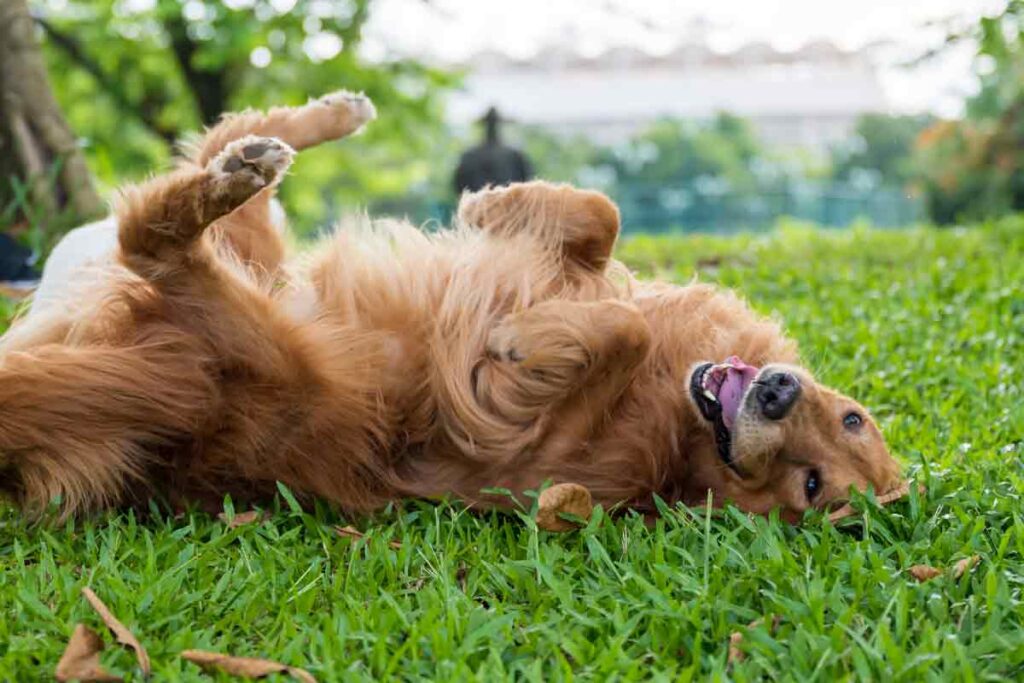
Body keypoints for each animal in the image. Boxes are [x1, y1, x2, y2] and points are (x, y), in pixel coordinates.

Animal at [0, 92, 897, 518]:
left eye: (810, 485)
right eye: (850, 415)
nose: (777, 390)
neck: (680, 424)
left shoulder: (540, 455)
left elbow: (617, 328)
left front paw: (520, 339)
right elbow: (602, 219)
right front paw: (502, 201)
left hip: (274, 349)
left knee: (151, 233)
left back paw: (237, 174)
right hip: (264, 260)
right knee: (226, 136)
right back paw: (321, 121)